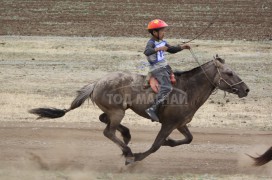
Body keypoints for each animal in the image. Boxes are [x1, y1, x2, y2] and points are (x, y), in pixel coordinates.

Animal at [29, 56, 249, 165]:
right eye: (229, 73)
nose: (246, 89)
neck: (187, 89)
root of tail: (96, 83)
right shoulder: (168, 124)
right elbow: (156, 146)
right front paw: (136, 157)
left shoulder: (180, 124)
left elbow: (188, 139)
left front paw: (170, 142)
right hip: (118, 112)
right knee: (108, 131)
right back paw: (127, 150)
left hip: (116, 110)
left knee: (104, 120)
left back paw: (126, 136)